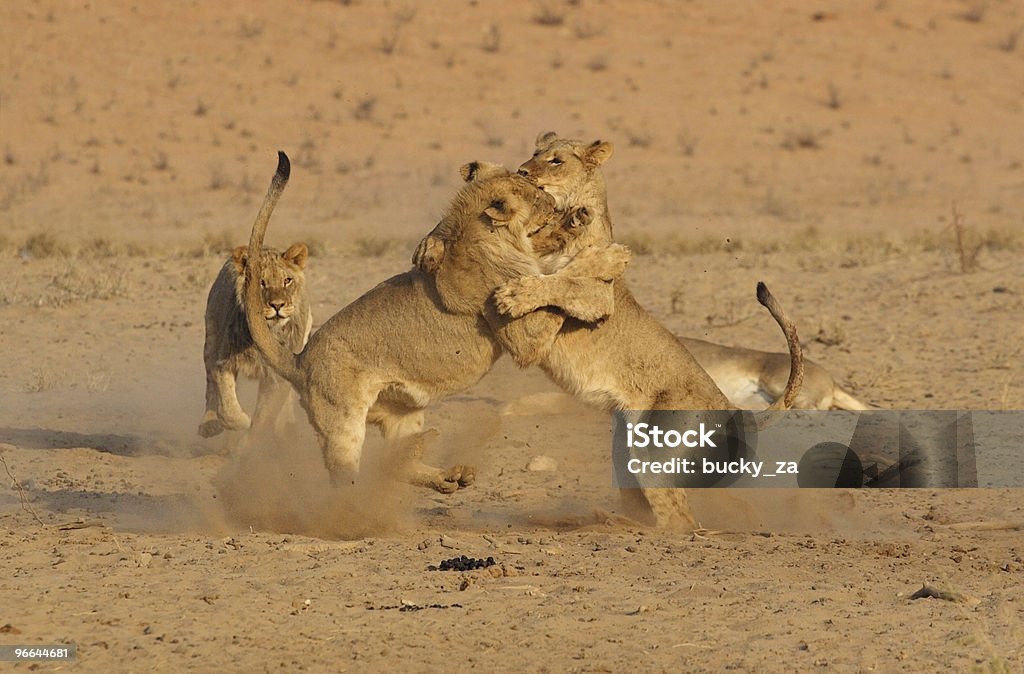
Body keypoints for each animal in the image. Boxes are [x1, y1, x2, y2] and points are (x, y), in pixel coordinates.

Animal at [197, 239, 311, 436]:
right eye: (261, 282)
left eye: (287, 280)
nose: (277, 305)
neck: (267, 331)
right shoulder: (223, 361)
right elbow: (227, 409)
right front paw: (244, 421)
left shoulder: (276, 376)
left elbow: (265, 415)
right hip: (211, 339)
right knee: (210, 384)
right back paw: (209, 424)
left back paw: (286, 424)